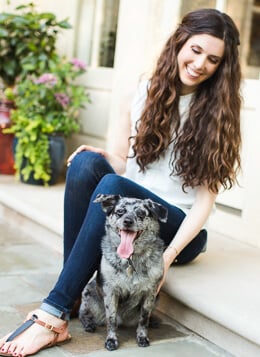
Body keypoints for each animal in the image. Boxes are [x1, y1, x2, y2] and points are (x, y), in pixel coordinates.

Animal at [79, 193, 168, 350]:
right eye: (120, 211)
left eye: (141, 213)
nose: (127, 221)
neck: (130, 259)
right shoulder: (110, 292)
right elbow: (111, 319)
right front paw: (111, 340)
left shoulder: (150, 292)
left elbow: (144, 318)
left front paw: (142, 337)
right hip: (88, 292)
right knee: (83, 313)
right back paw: (89, 323)